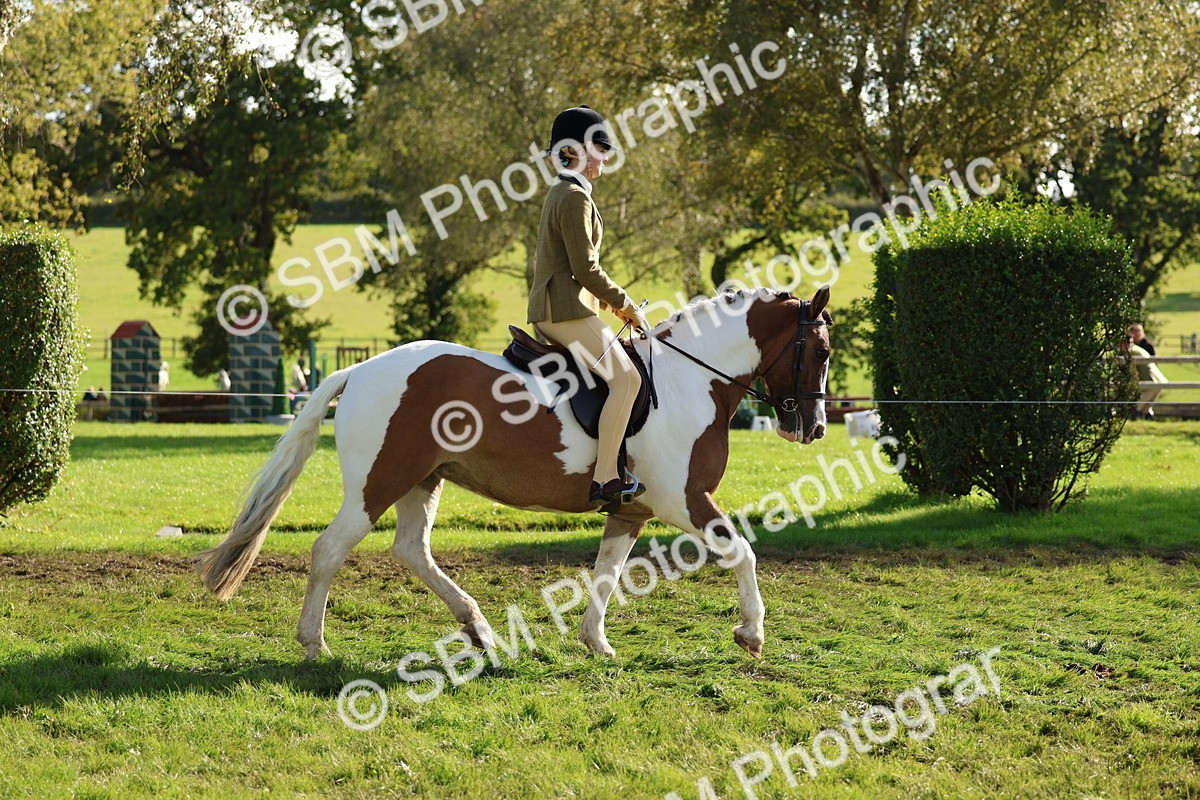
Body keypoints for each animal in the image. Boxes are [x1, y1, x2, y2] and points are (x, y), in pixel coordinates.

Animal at [196, 286, 833, 660]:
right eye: (823, 351)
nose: (815, 428)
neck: (687, 381)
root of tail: (362, 368)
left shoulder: (631, 508)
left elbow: (607, 573)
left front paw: (595, 642)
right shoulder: (686, 500)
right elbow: (743, 552)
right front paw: (751, 633)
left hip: (422, 480)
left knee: (411, 550)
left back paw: (478, 629)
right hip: (378, 483)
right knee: (330, 549)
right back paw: (315, 644)